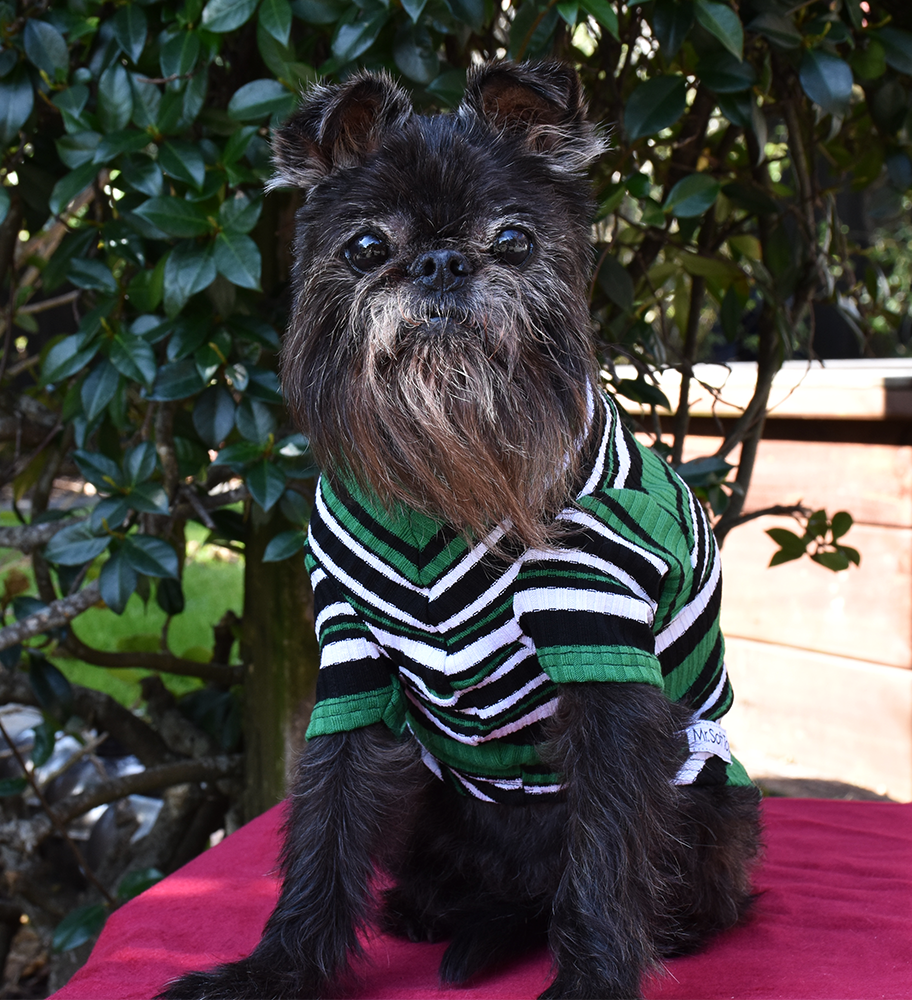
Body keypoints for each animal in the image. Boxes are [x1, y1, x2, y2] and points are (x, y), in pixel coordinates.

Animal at [159, 60, 764, 1000]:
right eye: (366, 247)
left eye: (513, 239)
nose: (443, 261)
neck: (442, 471)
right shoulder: (351, 662)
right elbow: (323, 824)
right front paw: (276, 970)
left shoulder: (602, 651)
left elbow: (606, 851)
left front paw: (593, 978)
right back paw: (432, 907)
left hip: (706, 797)